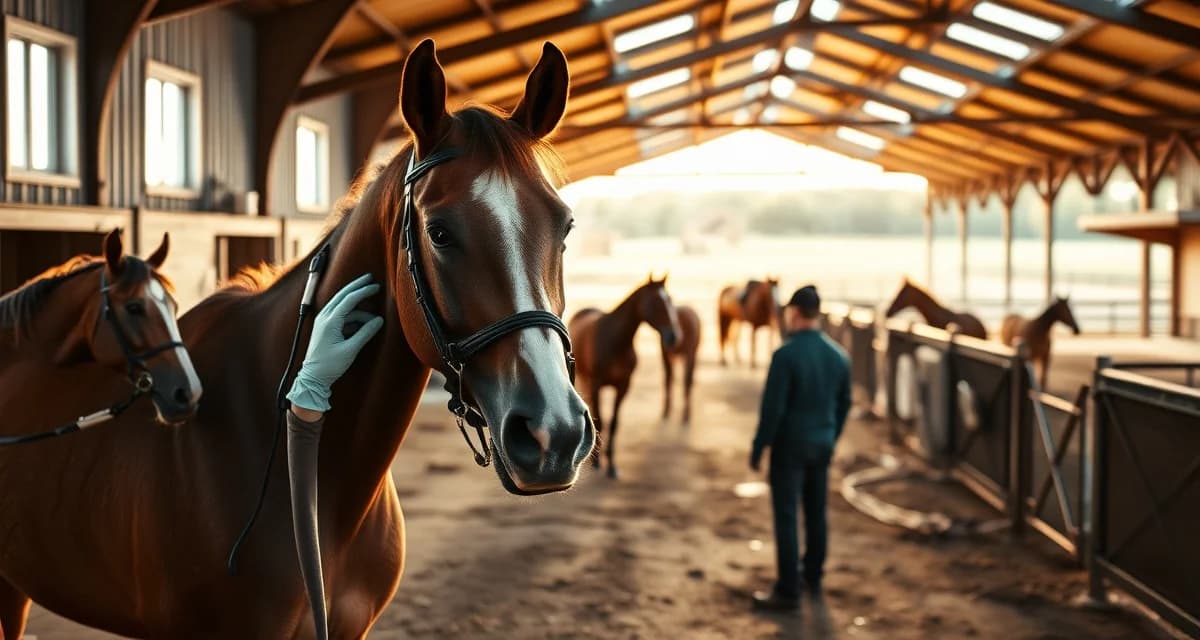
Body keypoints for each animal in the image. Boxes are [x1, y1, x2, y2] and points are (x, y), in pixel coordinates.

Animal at [569, 274, 680, 479]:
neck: (616, 341)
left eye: (670, 299)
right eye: (656, 301)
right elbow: (600, 421)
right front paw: (597, 462)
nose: (673, 337)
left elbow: (614, 423)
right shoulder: (597, 385)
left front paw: (612, 466)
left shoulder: (623, 386)